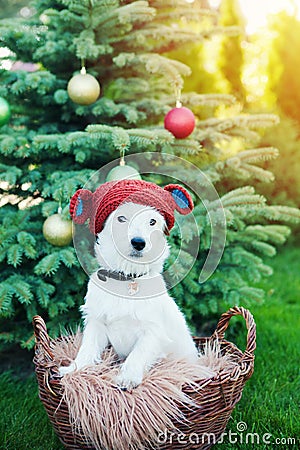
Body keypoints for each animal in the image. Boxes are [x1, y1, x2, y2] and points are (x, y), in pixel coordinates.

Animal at [60, 181, 199, 388]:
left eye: (152, 222)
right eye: (121, 218)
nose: (138, 243)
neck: (128, 277)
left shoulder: (152, 331)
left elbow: (137, 355)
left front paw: (128, 378)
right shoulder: (96, 322)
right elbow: (88, 348)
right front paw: (74, 369)